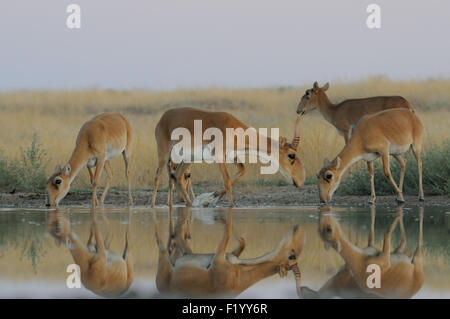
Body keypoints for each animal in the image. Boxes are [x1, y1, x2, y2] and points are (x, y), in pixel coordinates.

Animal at [152, 107, 306, 208]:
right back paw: (154, 205)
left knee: (178, 177)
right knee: (158, 175)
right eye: (291, 155)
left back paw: (191, 205)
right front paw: (229, 205)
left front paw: (208, 199)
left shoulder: (231, 156)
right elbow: (226, 181)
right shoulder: (219, 157)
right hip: (164, 154)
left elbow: (242, 170)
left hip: (187, 159)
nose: (300, 181)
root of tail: (163, 117)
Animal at [153, 209, 304, 298]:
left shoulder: (219, 256)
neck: (237, 275)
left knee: (165, 241)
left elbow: (228, 232)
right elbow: (242, 239)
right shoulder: (230, 254)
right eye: (292, 255)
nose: (298, 228)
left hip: (164, 258)